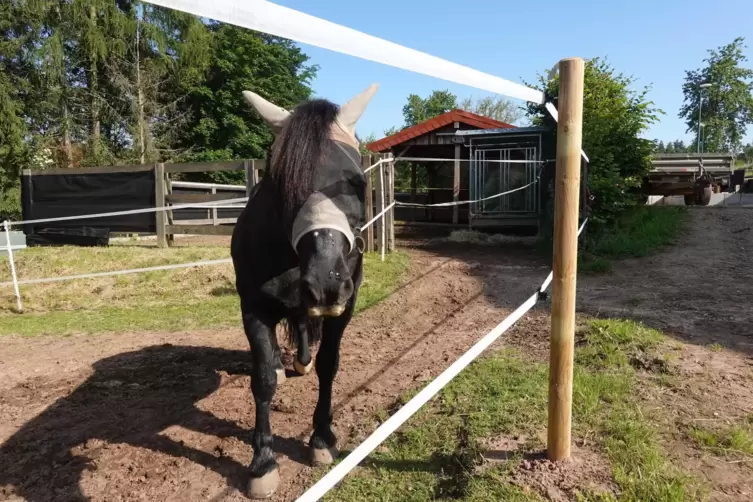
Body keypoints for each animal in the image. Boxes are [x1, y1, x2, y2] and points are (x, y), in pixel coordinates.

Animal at [231, 84, 376, 496]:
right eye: (282, 185)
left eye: (358, 183)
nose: (326, 281)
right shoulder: (253, 308)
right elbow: (263, 380)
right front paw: (263, 463)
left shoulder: (345, 306)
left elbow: (329, 365)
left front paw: (322, 439)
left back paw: (301, 360)